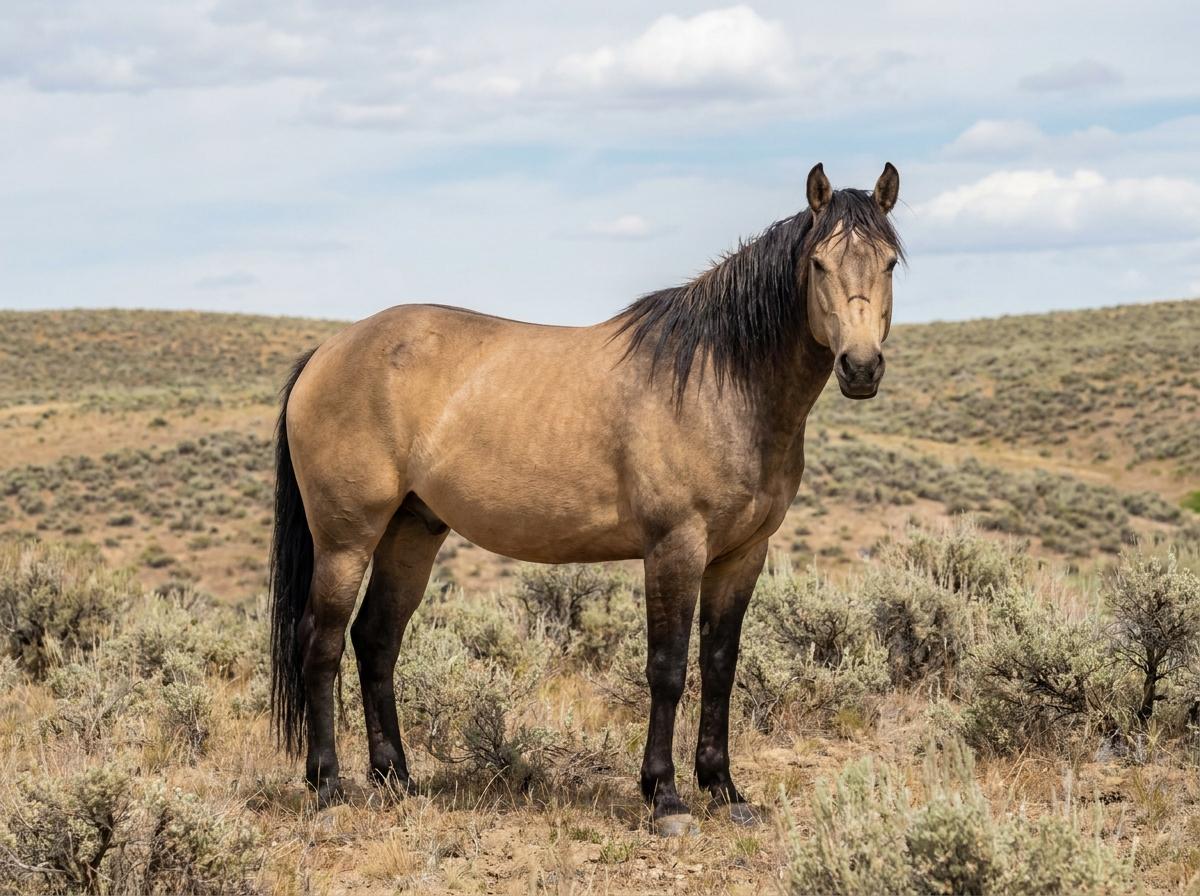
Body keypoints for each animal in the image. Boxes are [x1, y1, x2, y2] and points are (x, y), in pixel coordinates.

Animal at [269, 162, 903, 836]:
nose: (861, 367)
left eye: (889, 262)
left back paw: (397, 779)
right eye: (819, 264)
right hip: (346, 539)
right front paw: (666, 797)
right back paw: (328, 786)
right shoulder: (675, 547)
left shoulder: (742, 555)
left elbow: (720, 665)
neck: (719, 382)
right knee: (321, 643)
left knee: (375, 640)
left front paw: (724, 788)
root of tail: (325, 354)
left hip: (411, 531)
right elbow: (667, 668)